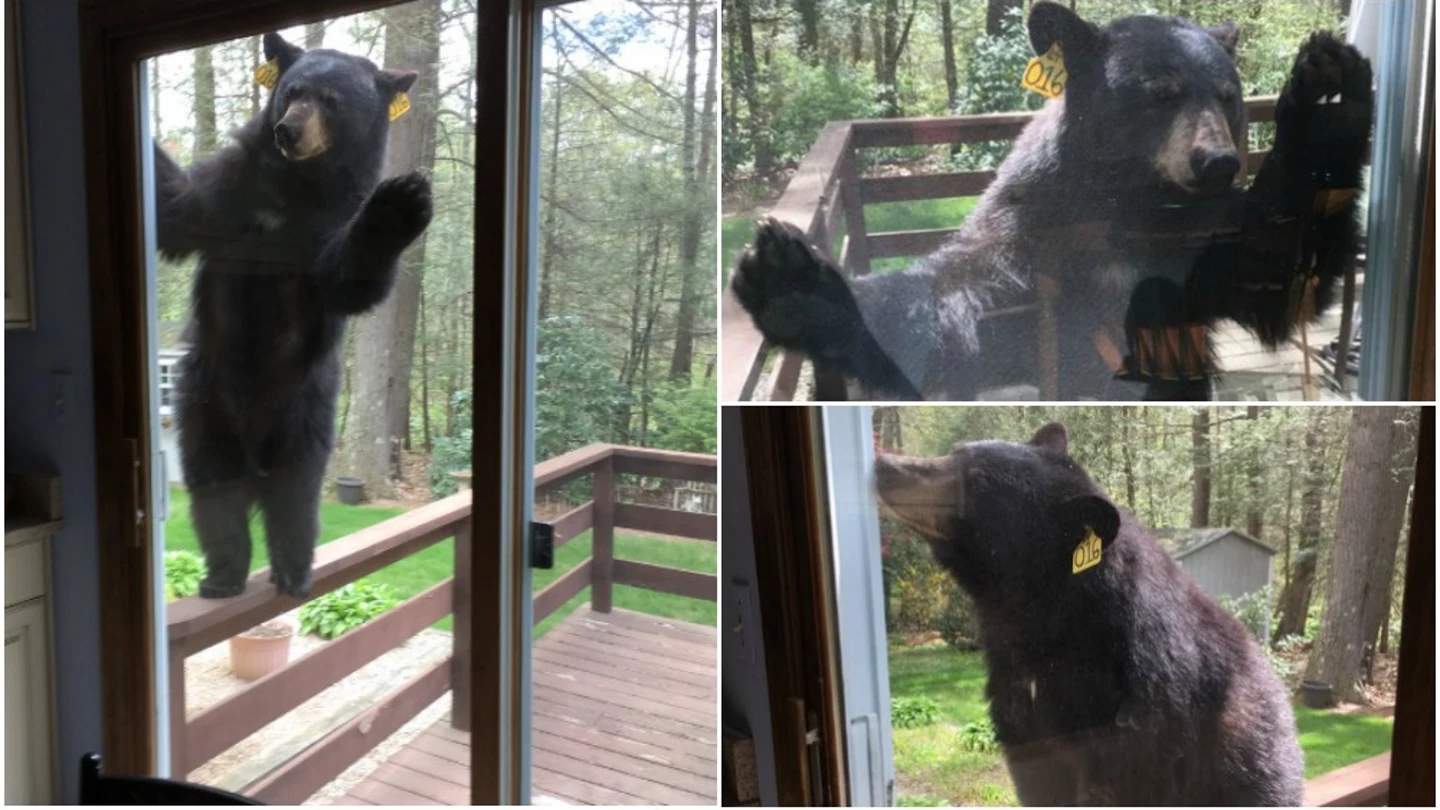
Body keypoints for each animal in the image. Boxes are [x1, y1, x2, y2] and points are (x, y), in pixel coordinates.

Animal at [154, 33, 433, 598]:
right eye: (291, 91)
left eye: (332, 101)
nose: (289, 130)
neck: (296, 188)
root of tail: (253, 451)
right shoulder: (230, 191)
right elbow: (179, 211)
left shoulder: (330, 222)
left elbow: (347, 280)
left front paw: (399, 202)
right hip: (204, 405)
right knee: (213, 491)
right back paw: (223, 574)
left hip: (305, 412)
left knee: (296, 498)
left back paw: (293, 570)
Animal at [732, 2, 1373, 401]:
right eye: (1160, 94)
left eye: (1227, 95)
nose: (1217, 163)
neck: (1131, 210)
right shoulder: (1033, 243)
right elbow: (950, 313)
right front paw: (790, 276)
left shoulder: (1195, 248)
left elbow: (1278, 277)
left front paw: (1327, 85)